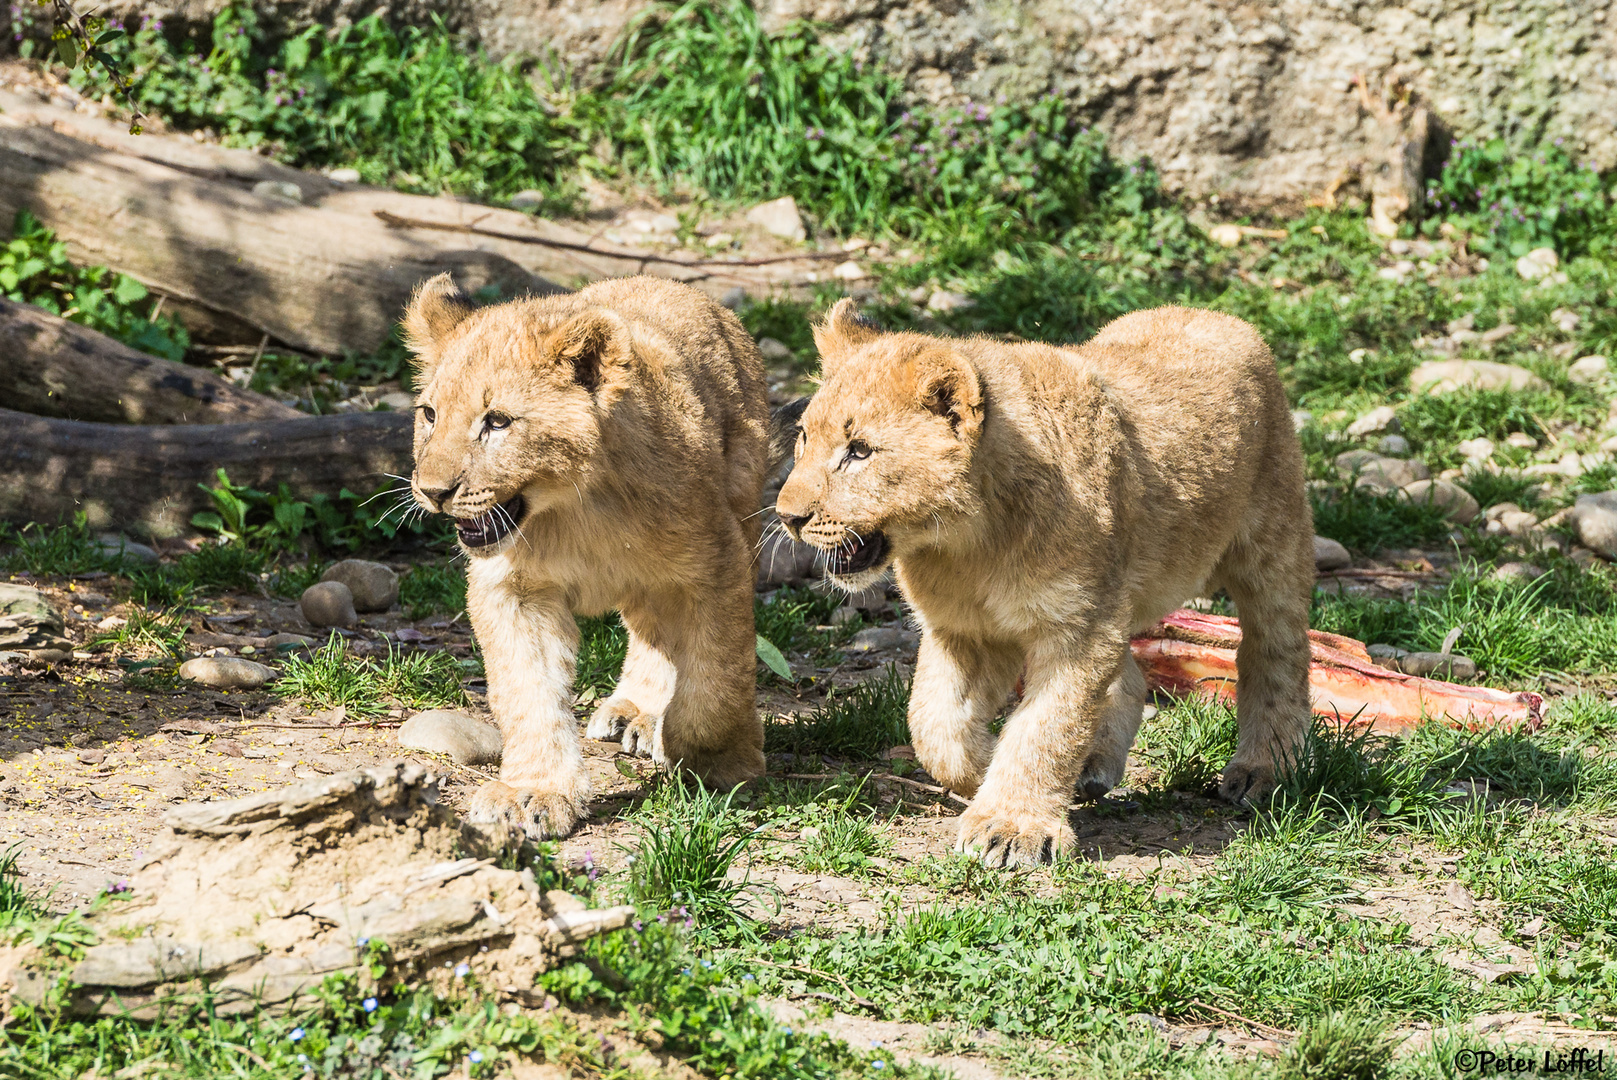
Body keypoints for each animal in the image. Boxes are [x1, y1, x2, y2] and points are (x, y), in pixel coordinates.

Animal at [410, 274, 776, 840]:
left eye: (498, 421)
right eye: (429, 414)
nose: (432, 491)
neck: (571, 512)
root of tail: (674, 285)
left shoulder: (716, 563)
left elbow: (717, 677)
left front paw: (719, 760)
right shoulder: (515, 592)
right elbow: (528, 693)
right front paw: (532, 793)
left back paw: (649, 722)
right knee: (651, 631)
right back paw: (635, 709)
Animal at [769, 302, 1313, 866]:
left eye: (859, 451)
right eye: (804, 437)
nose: (787, 517)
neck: (969, 542)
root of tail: (1212, 313)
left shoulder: (1079, 626)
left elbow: (1047, 726)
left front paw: (1012, 827)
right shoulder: (965, 630)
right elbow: (935, 726)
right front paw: (987, 769)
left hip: (1272, 539)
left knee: (1277, 650)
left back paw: (1263, 770)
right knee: (1133, 674)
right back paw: (1095, 763)